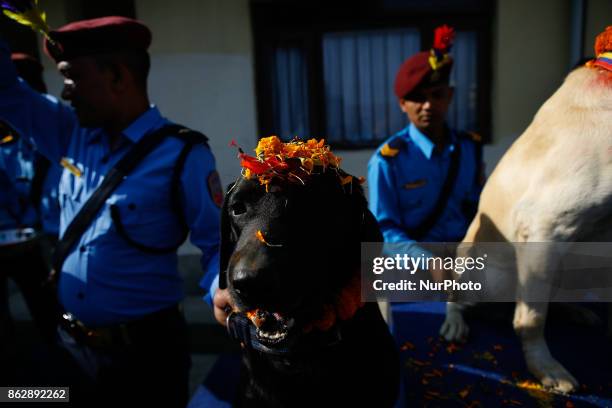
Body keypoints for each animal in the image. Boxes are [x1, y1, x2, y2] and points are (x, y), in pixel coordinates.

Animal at [440, 59, 612, 392]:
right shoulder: (546, 226)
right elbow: (531, 319)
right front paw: (545, 368)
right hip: (484, 274)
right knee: (458, 299)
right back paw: (455, 322)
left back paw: (576, 310)